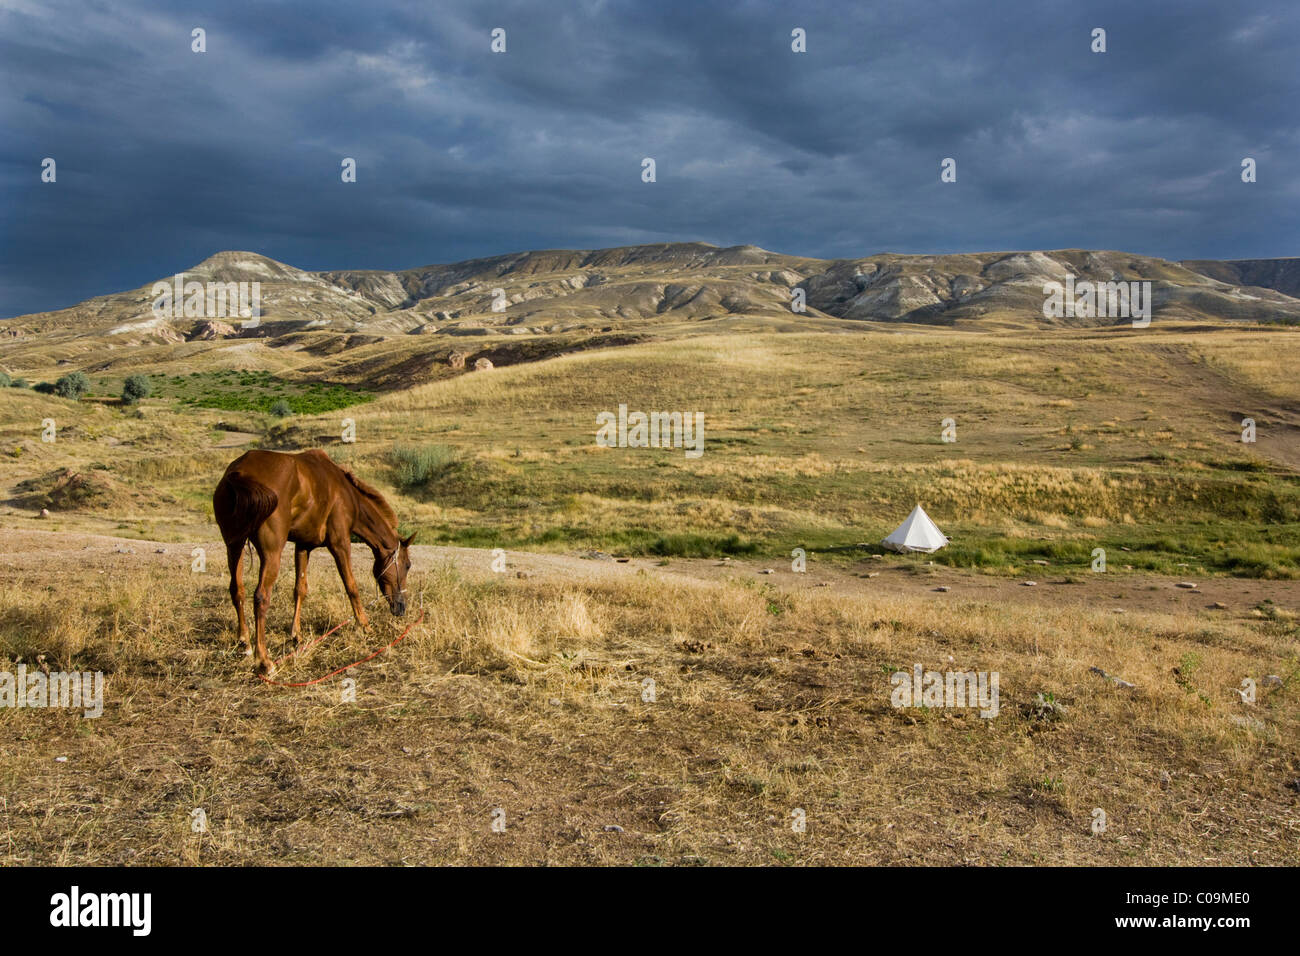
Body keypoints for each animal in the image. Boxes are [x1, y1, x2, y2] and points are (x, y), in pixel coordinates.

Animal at [213, 452, 413, 676]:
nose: (401, 608)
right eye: (407, 565)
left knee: (237, 590)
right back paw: (264, 661)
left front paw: (297, 635)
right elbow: (351, 586)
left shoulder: (303, 546)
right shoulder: (340, 543)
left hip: (234, 545)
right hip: (271, 552)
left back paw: (244, 643)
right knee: (261, 597)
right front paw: (365, 625)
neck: (347, 494)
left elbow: (300, 589)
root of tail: (239, 473)